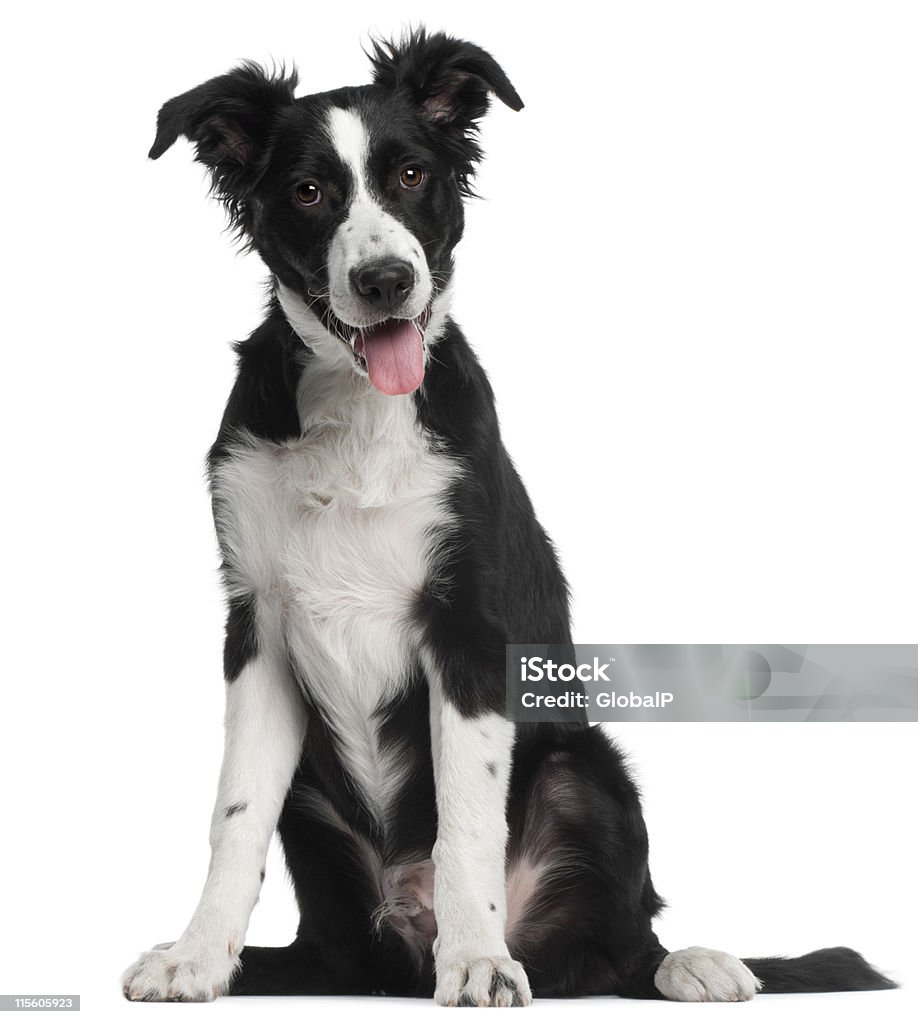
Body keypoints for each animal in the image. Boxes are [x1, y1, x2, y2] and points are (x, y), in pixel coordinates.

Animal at [121, 29, 897, 999]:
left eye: (412, 174)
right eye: (307, 191)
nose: (385, 280)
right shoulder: (254, 625)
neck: (359, 411)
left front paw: (480, 962)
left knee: (623, 946)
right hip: (325, 850)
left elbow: (467, 823)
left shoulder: (468, 627)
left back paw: (688, 964)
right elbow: (234, 816)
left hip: (587, 766)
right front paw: (195, 957)